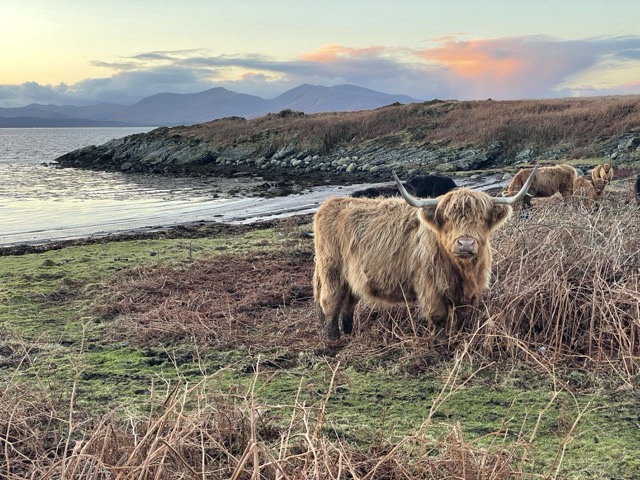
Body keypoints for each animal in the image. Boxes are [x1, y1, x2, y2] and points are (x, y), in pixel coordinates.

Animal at [312, 167, 537, 340]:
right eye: (448, 218)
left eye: (482, 218)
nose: (465, 244)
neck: (462, 270)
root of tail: (331, 203)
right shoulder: (430, 285)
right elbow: (438, 317)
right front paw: (440, 343)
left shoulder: (468, 292)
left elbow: (462, 317)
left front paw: (459, 337)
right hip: (331, 269)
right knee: (331, 302)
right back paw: (333, 338)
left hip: (351, 276)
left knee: (349, 303)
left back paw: (349, 333)